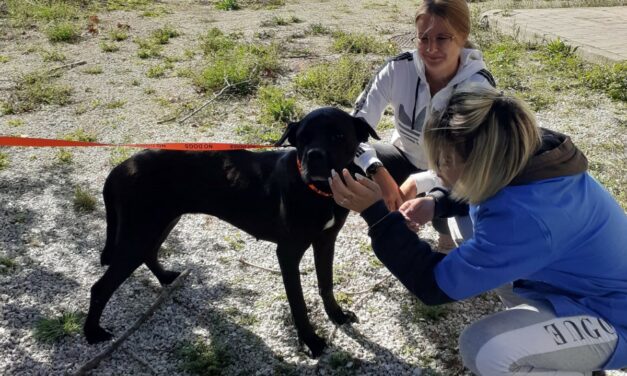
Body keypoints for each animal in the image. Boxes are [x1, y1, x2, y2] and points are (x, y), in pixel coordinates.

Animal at [83, 107, 378, 356]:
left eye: (338, 136)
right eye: (303, 139)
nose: (313, 156)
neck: (318, 192)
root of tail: (120, 167)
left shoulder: (326, 241)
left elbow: (326, 284)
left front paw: (337, 316)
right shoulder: (288, 253)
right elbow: (299, 304)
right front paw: (311, 342)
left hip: (161, 222)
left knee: (149, 253)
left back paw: (165, 277)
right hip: (140, 231)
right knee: (100, 287)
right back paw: (92, 334)